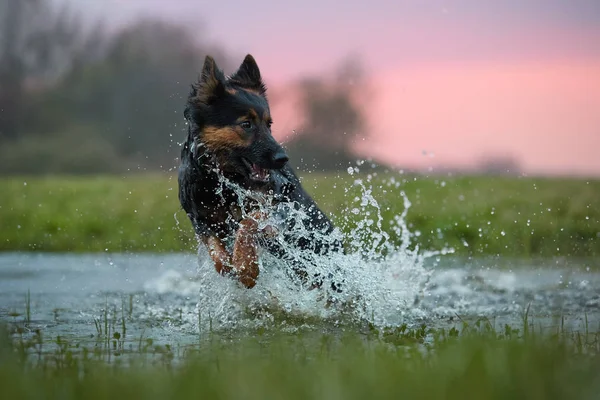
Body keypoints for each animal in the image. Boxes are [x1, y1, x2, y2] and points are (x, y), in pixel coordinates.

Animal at [177, 54, 342, 290]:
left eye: (269, 124)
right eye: (247, 124)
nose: (282, 159)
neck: (223, 181)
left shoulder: (277, 205)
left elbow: (248, 223)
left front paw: (246, 268)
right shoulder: (201, 221)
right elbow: (216, 253)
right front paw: (231, 266)